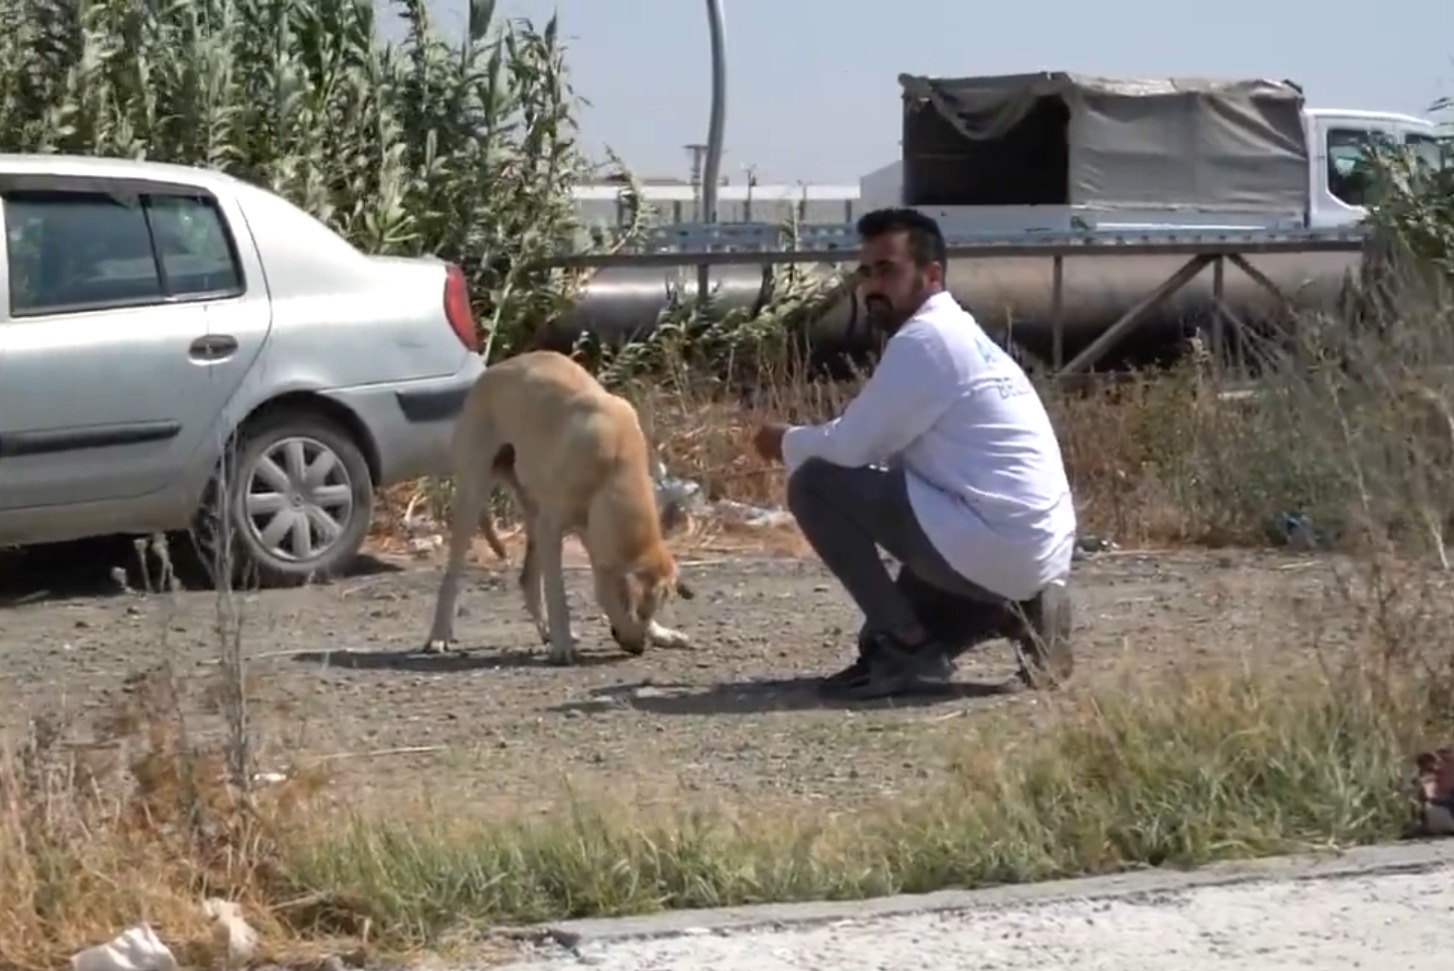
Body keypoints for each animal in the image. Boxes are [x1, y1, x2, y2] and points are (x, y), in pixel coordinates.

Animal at [424, 350, 695, 668]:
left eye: (651, 611)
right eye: (638, 609)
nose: (639, 648)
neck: (615, 466)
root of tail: (492, 370)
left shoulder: (589, 534)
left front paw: (661, 634)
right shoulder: (552, 529)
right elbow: (558, 595)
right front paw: (563, 644)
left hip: (532, 511)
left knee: (528, 580)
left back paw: (546, 632)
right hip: (474, 494)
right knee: (453, 577)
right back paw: (439, 635)